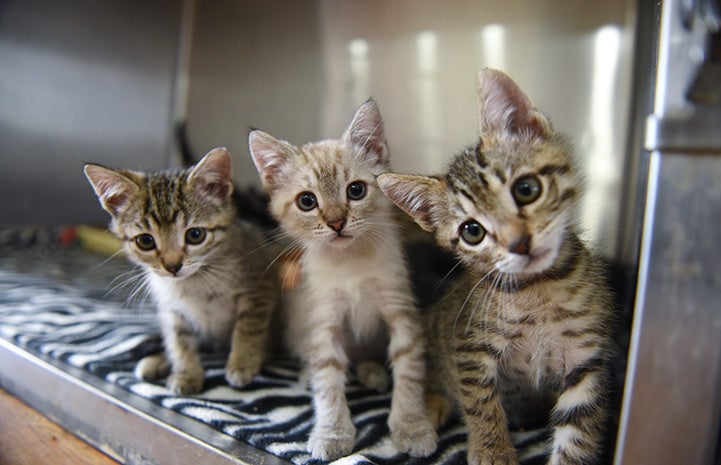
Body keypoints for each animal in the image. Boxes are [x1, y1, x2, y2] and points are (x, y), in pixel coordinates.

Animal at [83, 147, 278, 394]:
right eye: (145, 241)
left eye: (195, 235)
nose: (173, 266)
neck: (195, 282)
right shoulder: (172, 309)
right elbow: (179, 342)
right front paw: (187, 373)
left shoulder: (261, 286)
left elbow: (249, 328)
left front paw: (242, 363)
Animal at [248, 99, 438, 458]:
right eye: (307, 201)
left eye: (356, 190)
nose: (336, 222)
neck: (352, 262)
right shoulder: (324, 320)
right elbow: (328, 381)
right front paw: (332, 432)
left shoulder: (401, 311)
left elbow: (408, 370)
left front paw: (411, 425)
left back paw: (373, 372)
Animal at [376, 70, 612, 464]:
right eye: (472, 231)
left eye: (527, 189)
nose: (519, 244)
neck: (537, 289)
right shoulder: (470, 348)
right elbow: (482, 404)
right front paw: (492, 451)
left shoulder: (586, 358)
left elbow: (576, 436)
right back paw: (432, 405)